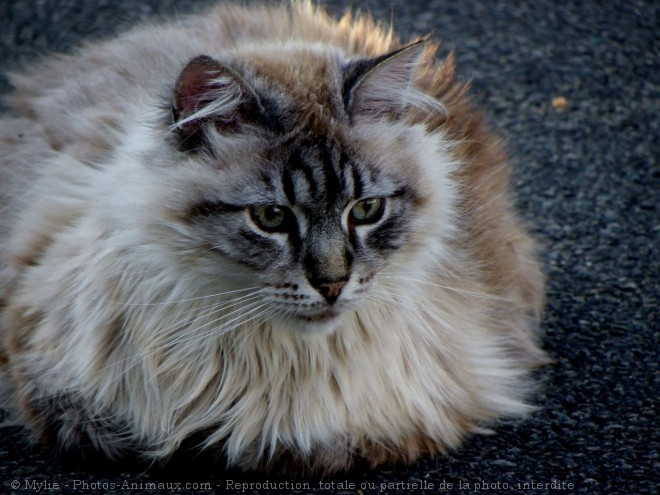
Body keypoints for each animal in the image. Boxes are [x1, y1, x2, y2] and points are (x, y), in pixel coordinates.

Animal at [0, 0, 548, 472]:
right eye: (271, 218)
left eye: (366, 210)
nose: (333, 285)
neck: (264, 359)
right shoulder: (53, 382)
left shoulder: (403, 419)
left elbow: (291, 447)